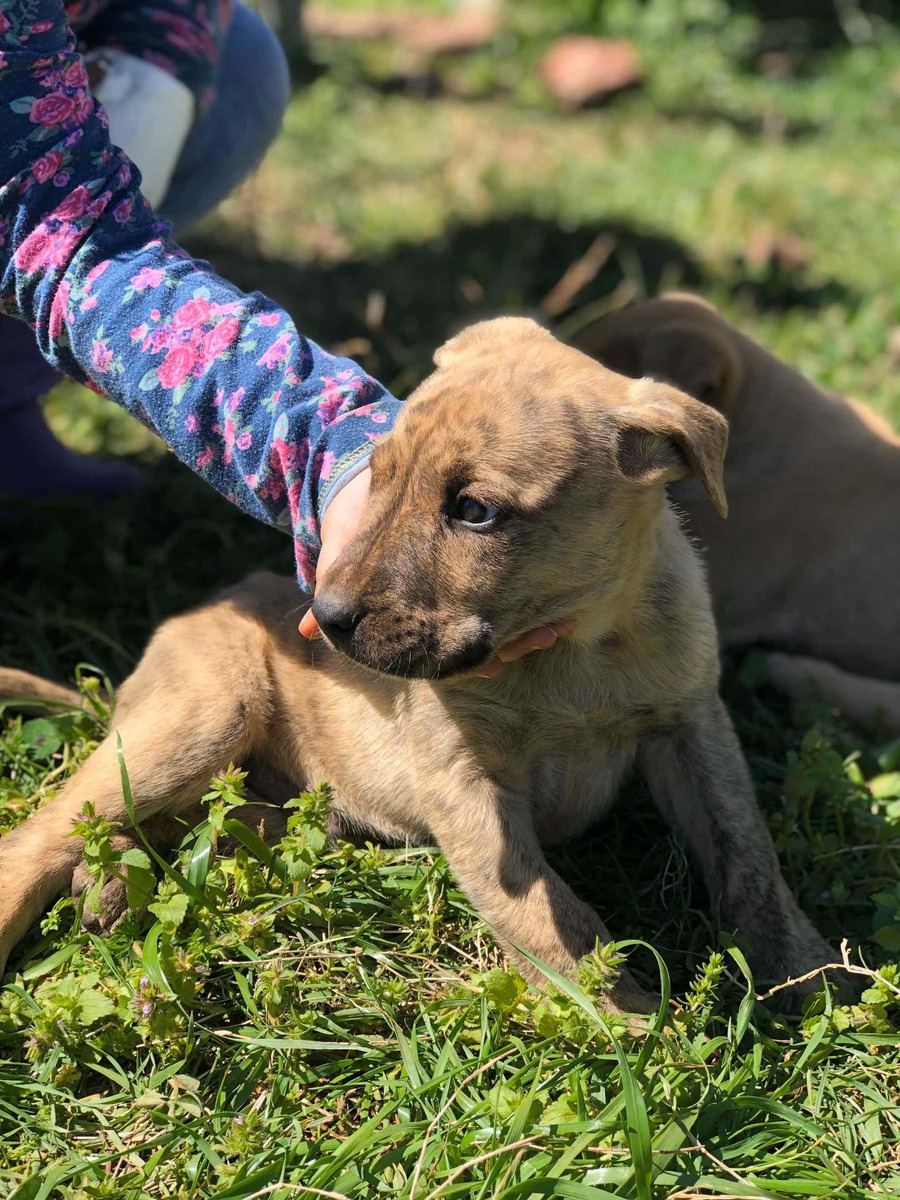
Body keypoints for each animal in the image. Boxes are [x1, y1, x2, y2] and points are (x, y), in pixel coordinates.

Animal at [0, 321, 844, 1012]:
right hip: (204, 717)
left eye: (474, 510)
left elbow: (749, 857)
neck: (574, 651)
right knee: (50, 833)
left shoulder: (692, 723)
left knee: (204, 819)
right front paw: (626, 1021)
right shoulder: (462, 775)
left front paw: (808, 973)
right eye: (379, 475)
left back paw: (117, 878)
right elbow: (540, 909)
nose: (326, 618)